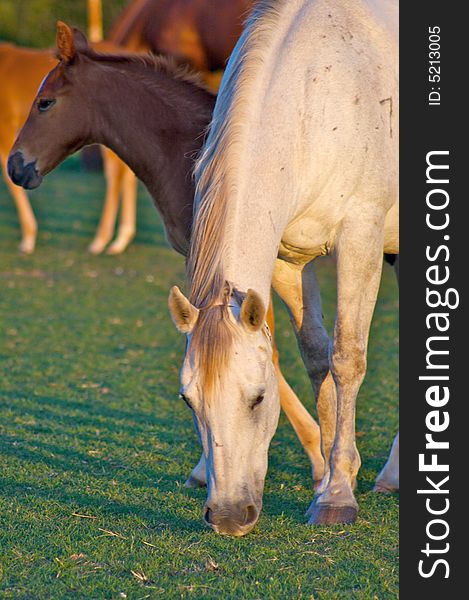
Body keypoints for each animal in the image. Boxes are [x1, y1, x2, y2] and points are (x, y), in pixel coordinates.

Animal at [170, 0, 396, 536]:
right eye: (190, 402)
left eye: (257, 398)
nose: (228, 516)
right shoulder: (288, 258)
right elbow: (317, 358)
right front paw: (333, 476)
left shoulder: (361, 237)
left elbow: (347, 357)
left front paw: (337, 497)